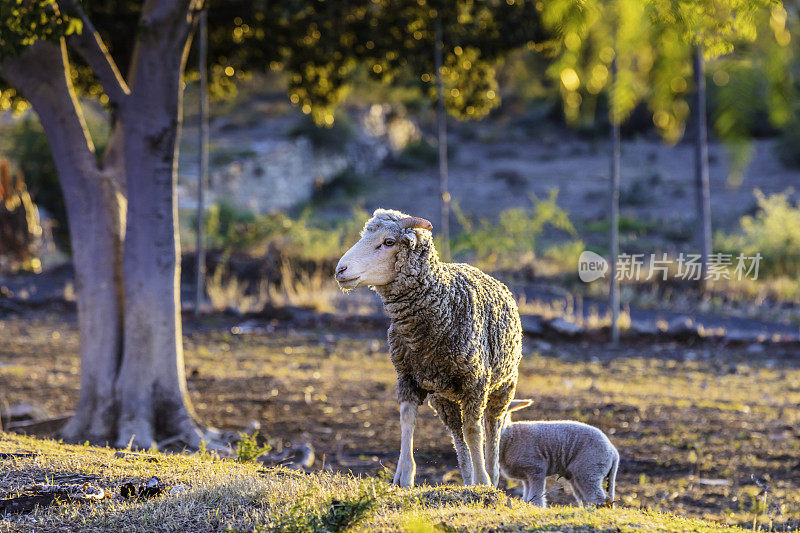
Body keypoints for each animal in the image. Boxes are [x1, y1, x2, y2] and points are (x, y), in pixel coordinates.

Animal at [334, 208, 520, 486]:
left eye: (389, 241)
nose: (340, 270)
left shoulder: (475, 383)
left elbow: (474, 431)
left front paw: (483, 481)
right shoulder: (407, 377)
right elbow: (407, 420)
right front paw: (404, 475)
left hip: (503, 385)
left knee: (491, 425)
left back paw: (490, 475)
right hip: (443, 397)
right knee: (457, 435)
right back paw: (467, 478)